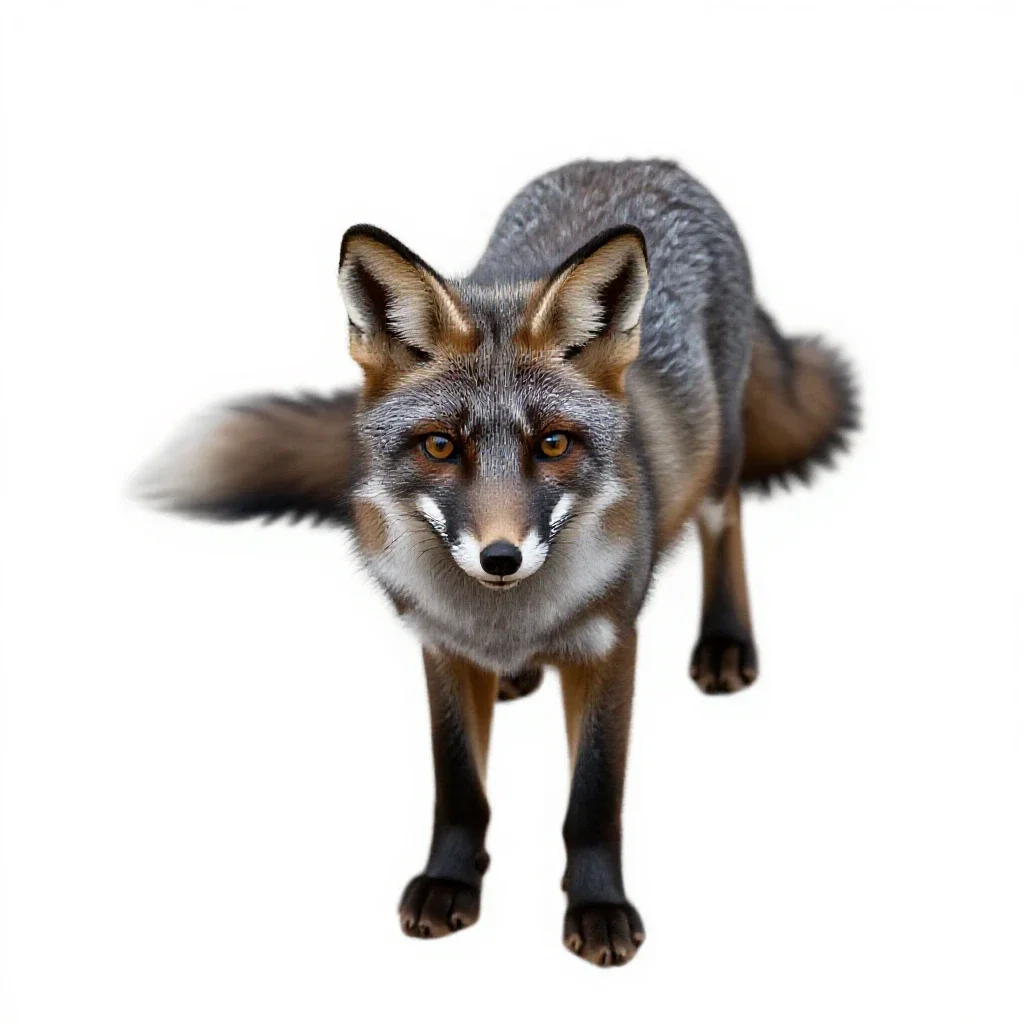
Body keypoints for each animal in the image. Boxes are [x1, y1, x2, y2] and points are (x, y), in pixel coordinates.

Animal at [135, 159, 857, 967]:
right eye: (440, 446)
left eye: (554, 444)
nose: (502, 557)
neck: (506, 619)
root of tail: (639, 160)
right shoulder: (441, 646)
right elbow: (459, 788)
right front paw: (450, 882)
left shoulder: (611, 645)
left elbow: (593, 800)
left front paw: (598, 906)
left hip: (722, 455)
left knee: (724, 520)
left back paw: (727, 641)